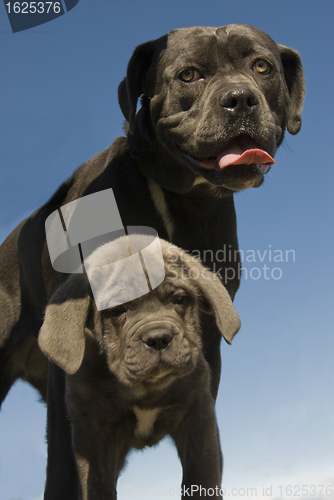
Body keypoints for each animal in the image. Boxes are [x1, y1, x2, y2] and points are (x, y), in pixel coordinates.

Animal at [37, 235, 241, 500]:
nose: (158, 338)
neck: (145, 390)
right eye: (117, 310)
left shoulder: (197, 415)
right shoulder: (92, 434)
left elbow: (202, 476)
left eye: (179, 299)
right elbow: (98, 487)